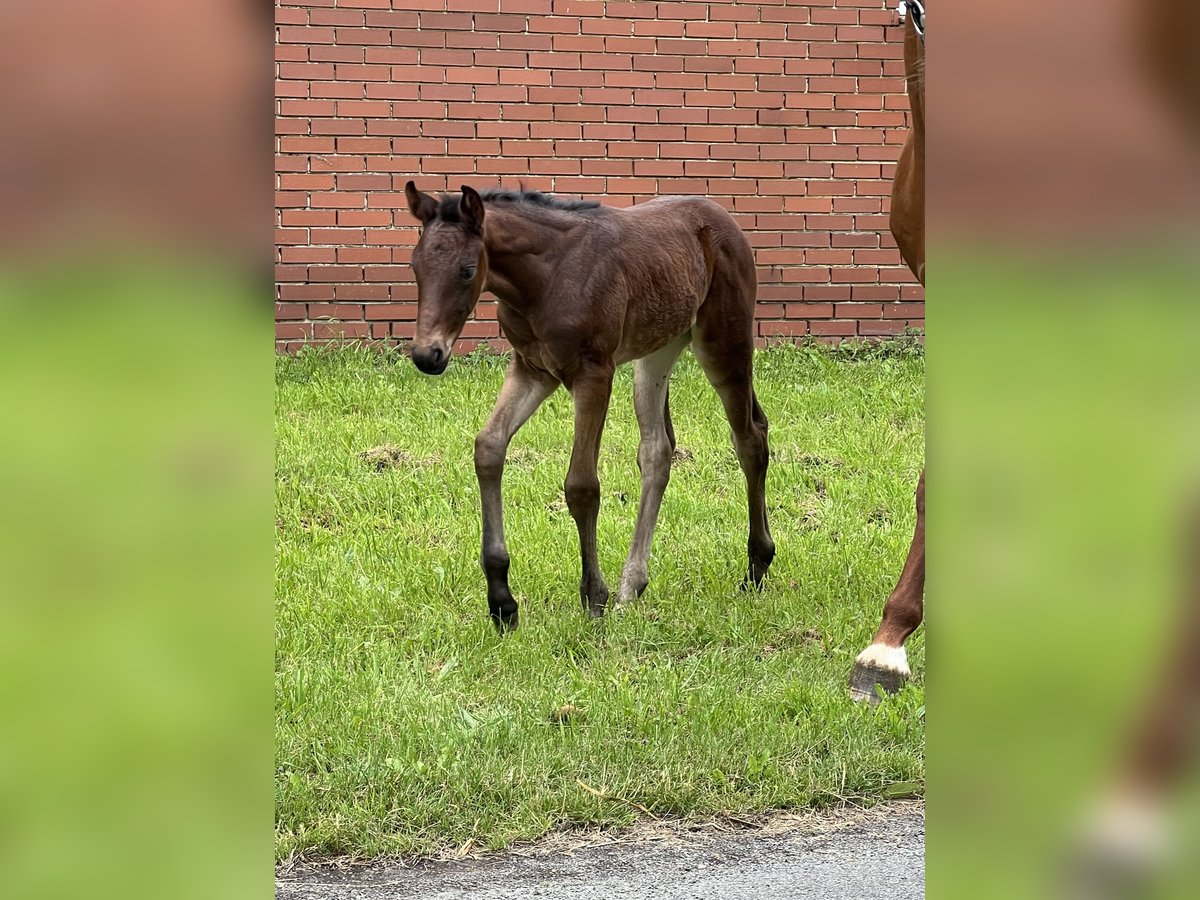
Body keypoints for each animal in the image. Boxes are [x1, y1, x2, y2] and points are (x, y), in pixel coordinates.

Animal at [403, 183, 777, 628]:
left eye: (466, 270)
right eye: (415, 267)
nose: (427, 356)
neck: (546, 277)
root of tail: (726, 221)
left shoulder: (593, 374)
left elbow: (581, 485)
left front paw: (593, 596)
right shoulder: (532, 370)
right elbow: (489, 447)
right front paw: (502, 602)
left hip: (723, 343)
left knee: (750, 439)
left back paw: (756, 566)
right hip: (657, 353)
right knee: (658, 450)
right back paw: (632, 586)